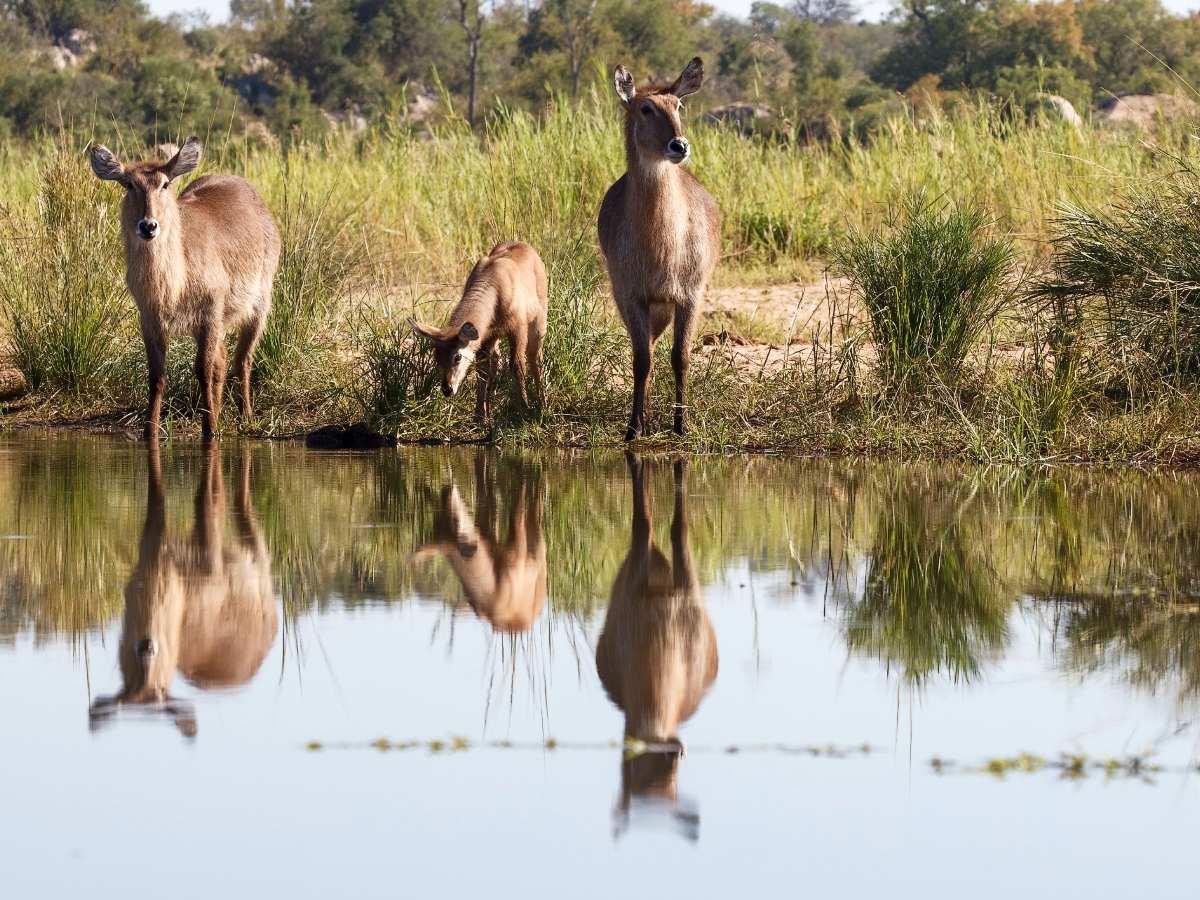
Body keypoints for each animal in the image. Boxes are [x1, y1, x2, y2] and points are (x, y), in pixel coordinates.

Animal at [88, 136, 278, 441]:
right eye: (128, 184)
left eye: (165, 184)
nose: (148, 226)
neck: (173, 284)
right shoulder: (150, 319)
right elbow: (157, 375)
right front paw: (150, 430)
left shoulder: (211, 312)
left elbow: (202, 369)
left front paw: (210, 431)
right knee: (223, 359)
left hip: (259, 303)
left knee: (242, 359)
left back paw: (246, 417)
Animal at [410, 240, 547, 422]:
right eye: (436, 357)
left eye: (457, 356)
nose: (447, 389)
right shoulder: (485, 336)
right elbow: (482, 370)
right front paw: (479, 417)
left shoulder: (518, 328)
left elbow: (517, 365)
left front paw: (524, 410)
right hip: (495, 338)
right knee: (496, 359)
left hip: (539, 320)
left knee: (535, 356)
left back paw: (543, 405)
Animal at [600, 56, 720, 441]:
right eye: (645, 108)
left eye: (678, 105)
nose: (679, 146)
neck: (662, 243)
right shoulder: (633, 295)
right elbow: (642, 360)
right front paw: (634, 427)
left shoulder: (690, 295)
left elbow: (680, 357)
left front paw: (682, 424)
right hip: (634, 302)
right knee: (648, 348)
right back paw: (646, 416)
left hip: (666, 305)